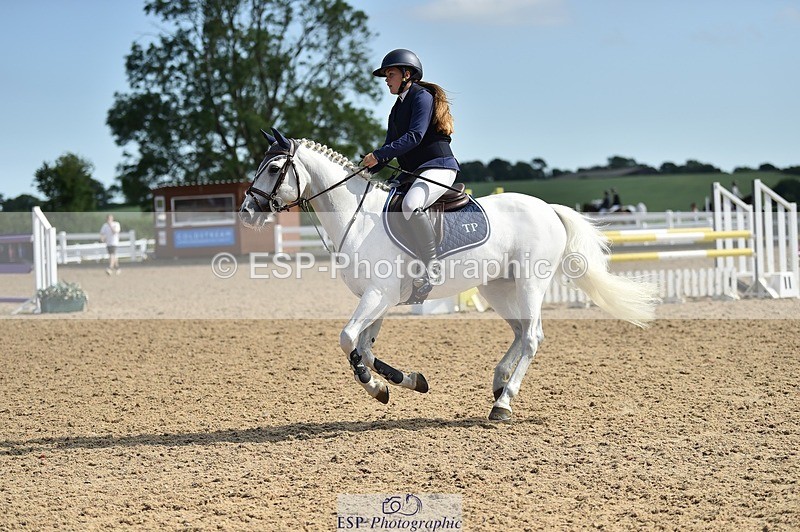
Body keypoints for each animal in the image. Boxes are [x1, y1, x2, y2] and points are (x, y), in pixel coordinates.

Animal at [239, 128, 660, 421]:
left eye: (274, 168)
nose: (247, 212)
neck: (358, 217)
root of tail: (549, 208)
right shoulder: (380, 299)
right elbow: (364, 347)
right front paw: (397, 383)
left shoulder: (377, 295)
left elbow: (348, 340)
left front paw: (374, 384)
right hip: (497, 288)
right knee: (520, 332)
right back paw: (498, 384)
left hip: (529, 282)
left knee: (533, 337)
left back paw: (504, 404)